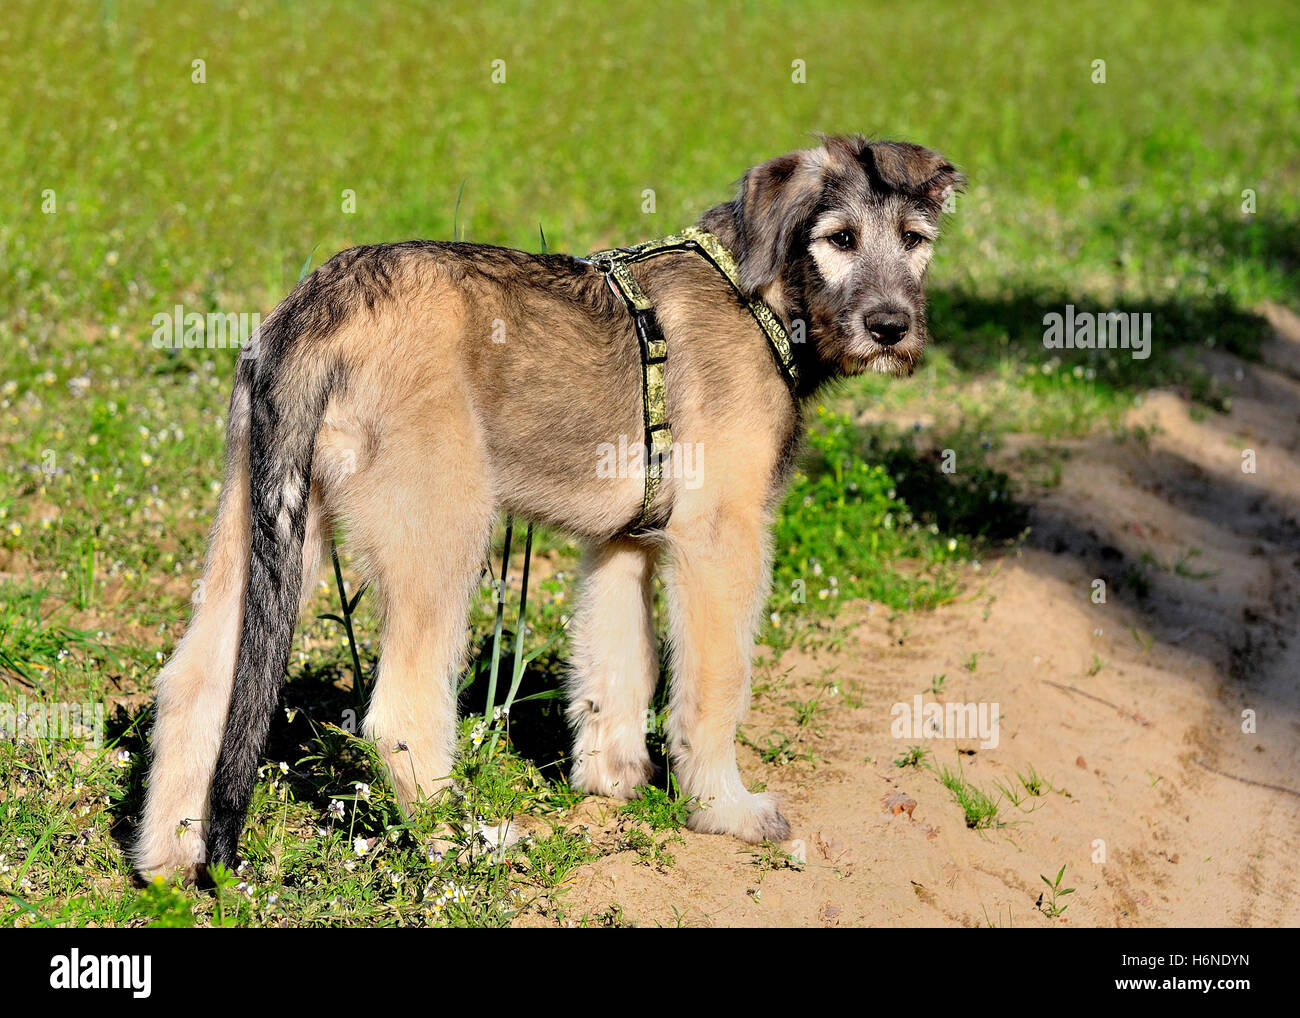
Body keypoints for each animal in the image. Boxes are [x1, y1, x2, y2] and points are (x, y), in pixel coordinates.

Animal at [134, 135, 967, 878]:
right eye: (840, 239)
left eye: (915, 240)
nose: (891, 327)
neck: (759, 292)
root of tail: (320, 305)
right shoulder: (720, 540)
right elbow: (712, 688)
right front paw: (723, 810)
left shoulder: (623, 545)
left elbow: (617, 670)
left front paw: (612, 782)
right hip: (443, 534)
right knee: (399, 711)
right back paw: (463, 845)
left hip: (265, 528)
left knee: (194, 684)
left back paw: (171, 862)